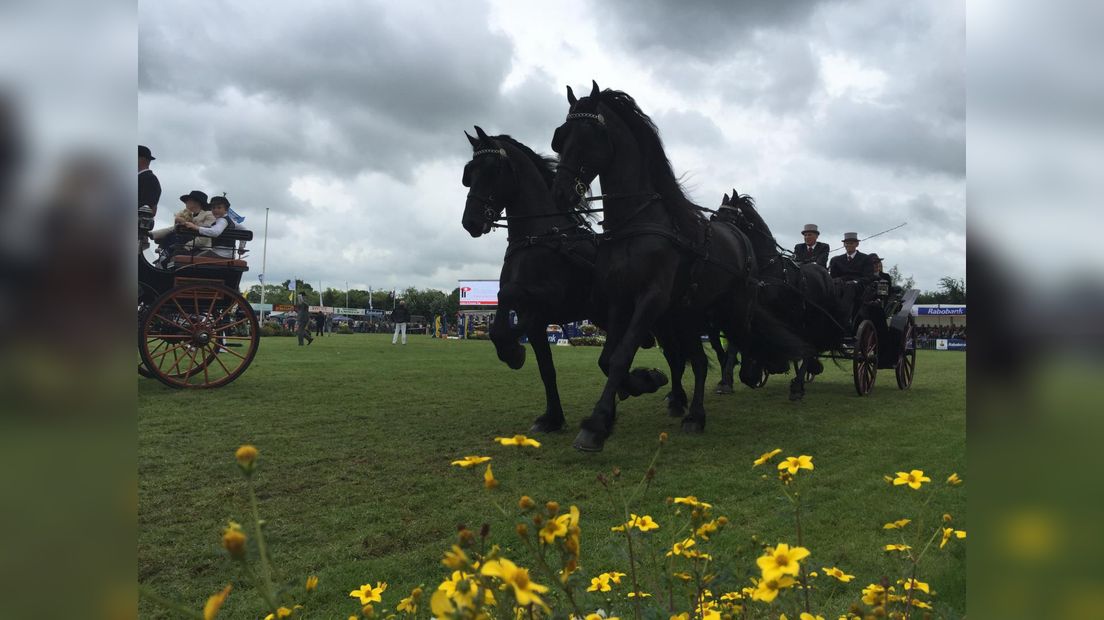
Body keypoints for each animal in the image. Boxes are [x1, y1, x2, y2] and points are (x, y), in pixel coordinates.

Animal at [457, 126, 662, 430]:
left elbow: (508, 295)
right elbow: (545, 367)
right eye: (469, 172)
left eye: (492, 169)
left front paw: (512, 349)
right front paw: (552, 417)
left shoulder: (554, 297)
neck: (539, 238)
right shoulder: (535, 319)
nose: (469, 221)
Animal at [549, 82, 803, 447]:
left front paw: (596, 424)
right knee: (700, 361)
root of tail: (740, 240)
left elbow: (621, 356)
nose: (560, 193)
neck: (637, 223)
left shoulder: (651, 299)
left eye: (589, 135)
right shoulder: (619, 299)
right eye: (560, 136)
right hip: (689, 313)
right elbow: (608, 358)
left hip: (732, 304)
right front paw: (640, 385)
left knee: (743, 336)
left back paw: (758, 373)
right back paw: (696, 414)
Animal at [715, 190, 843, 397]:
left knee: (811, 343)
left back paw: (798, 386)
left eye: (729, 217)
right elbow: (736, 345)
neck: (767, 269)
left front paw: (766, 368)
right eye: (715, 216)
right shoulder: (748, 311)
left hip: (813, 318)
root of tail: (826, 275)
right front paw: (730, 381)